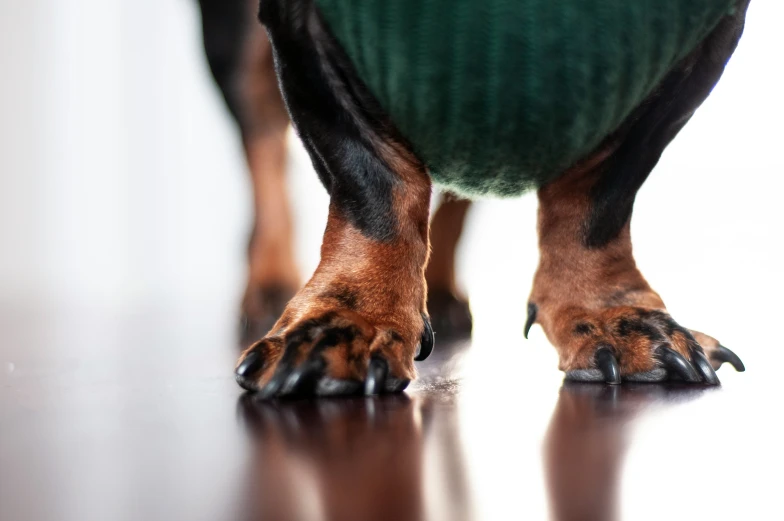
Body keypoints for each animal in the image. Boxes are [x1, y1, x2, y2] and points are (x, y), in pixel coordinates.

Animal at [213, 0, 748, 398]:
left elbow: (601, 196)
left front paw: (607, 313)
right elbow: (374, 183)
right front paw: (349, 319)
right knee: (261, 139)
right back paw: (268, 281)